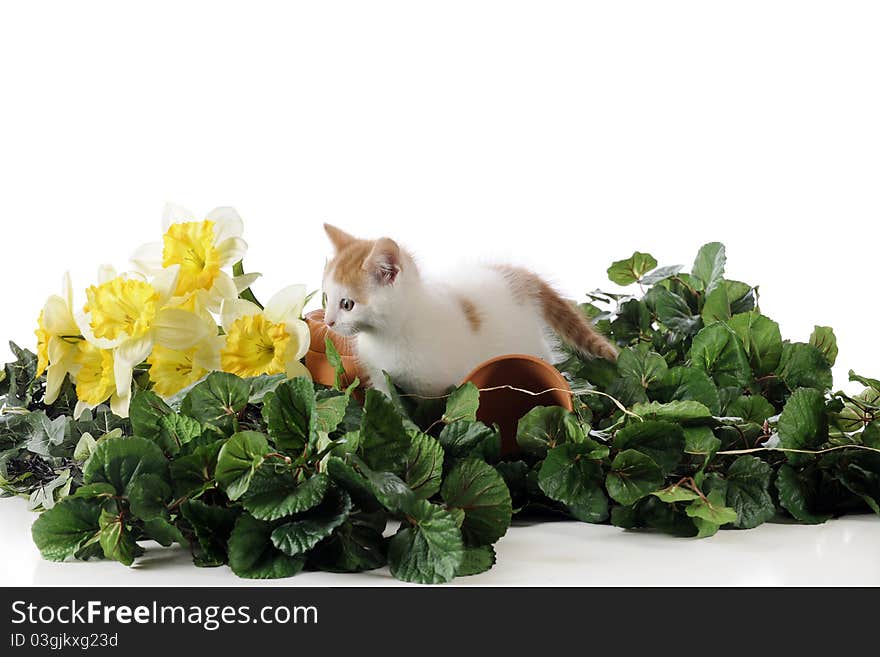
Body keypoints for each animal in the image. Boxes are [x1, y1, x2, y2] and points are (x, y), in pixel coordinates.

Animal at [320, 223, 616, 394]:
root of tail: (516, 275)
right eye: (326, 297)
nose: (328, 322)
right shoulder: (382, 382)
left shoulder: (440, 388)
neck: (389, 335)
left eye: (347, 304)